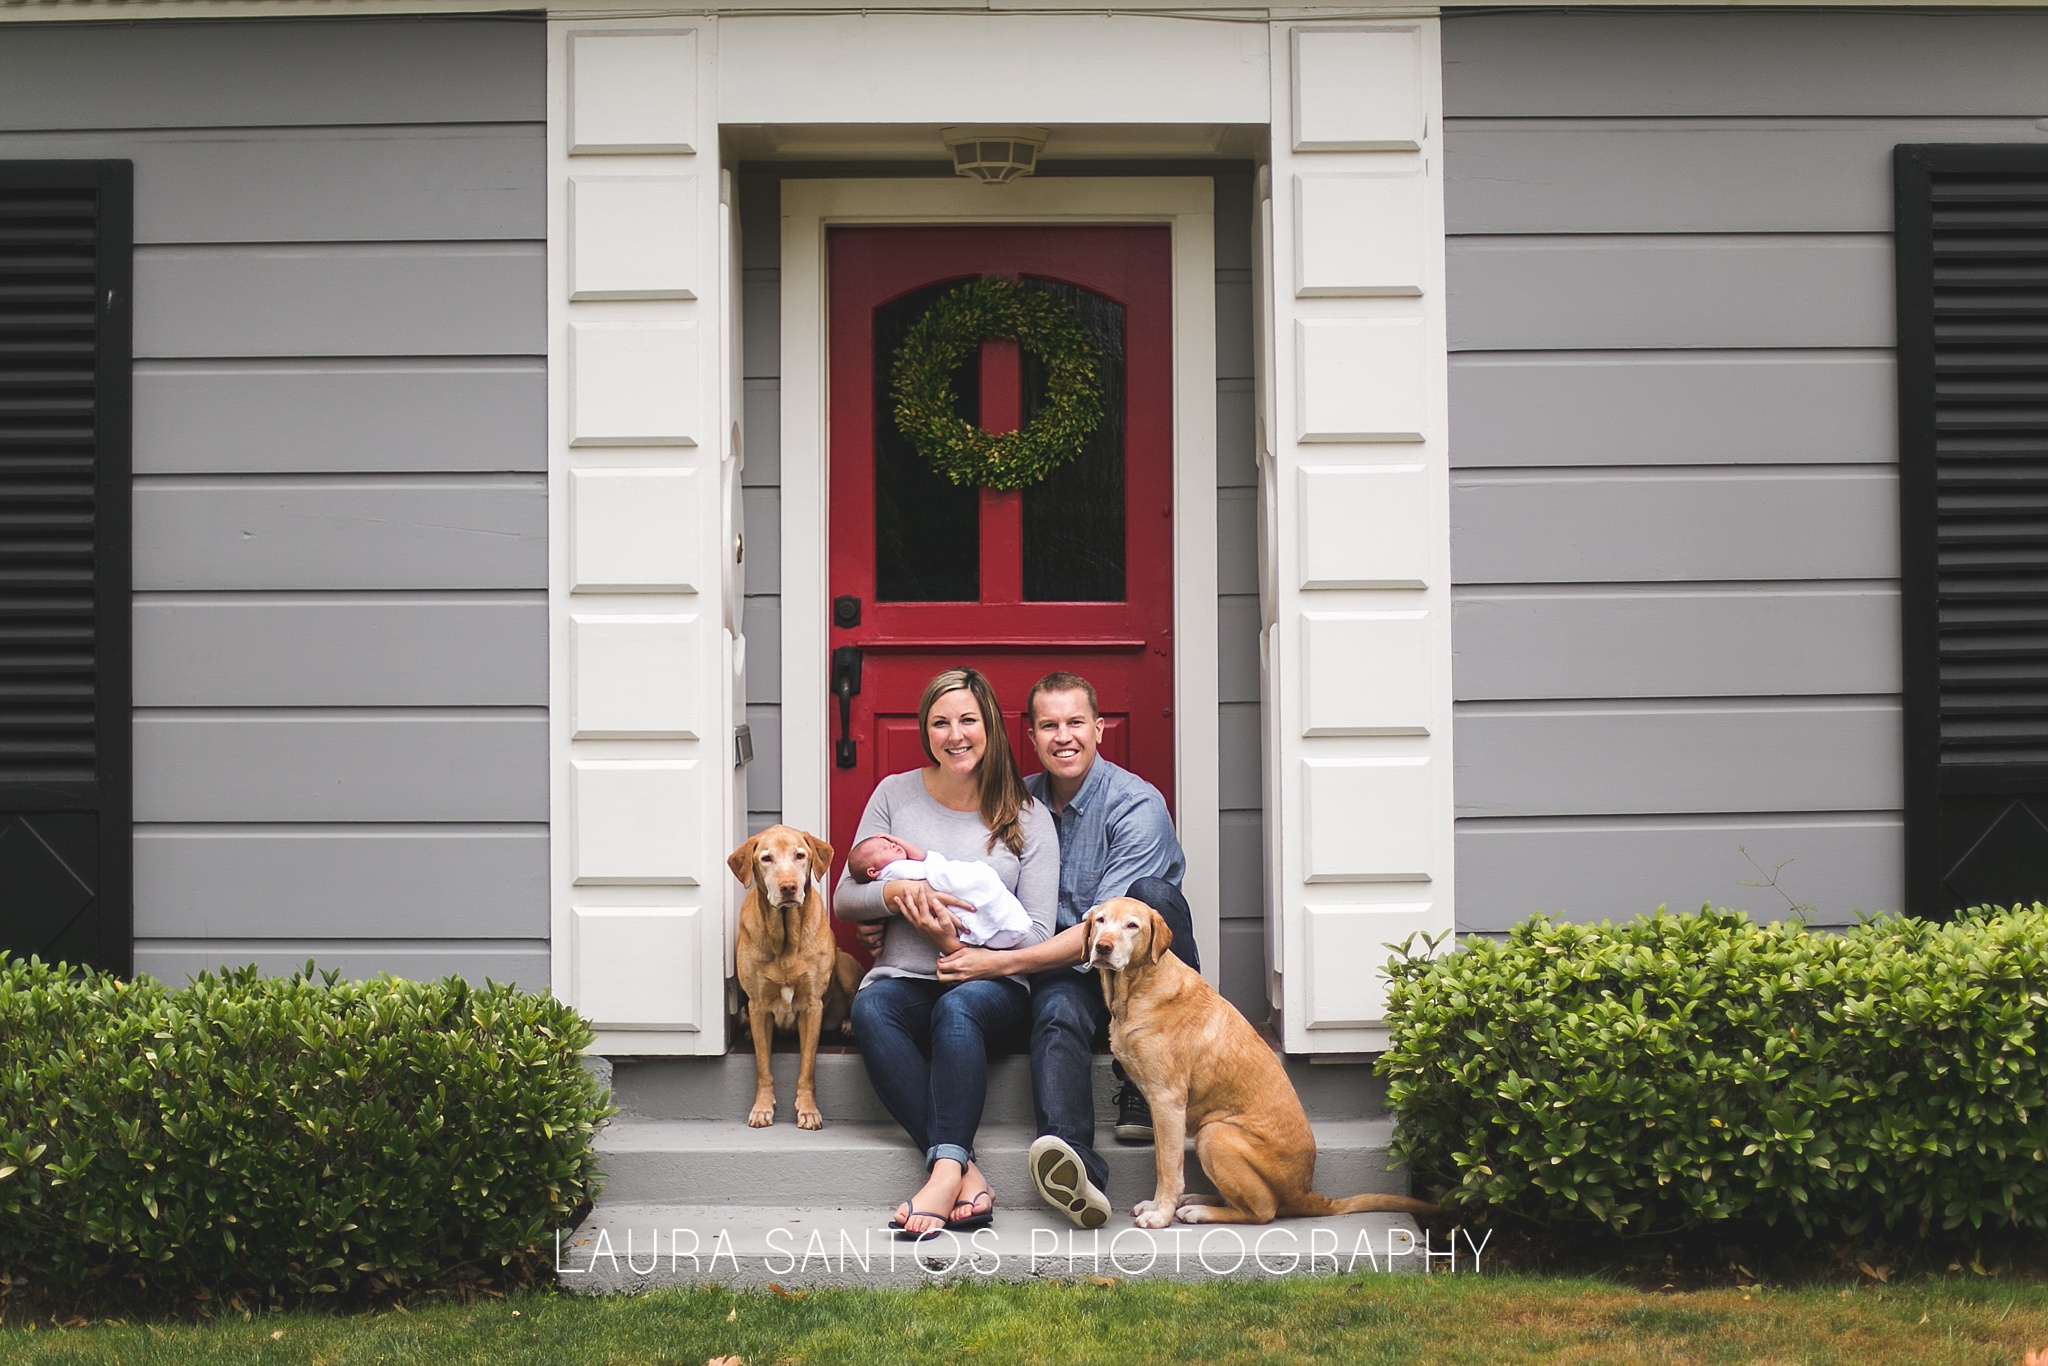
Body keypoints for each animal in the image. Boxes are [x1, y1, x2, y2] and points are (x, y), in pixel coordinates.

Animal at [724, 823, 860, 1130]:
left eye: (800, 855)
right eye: (766, 858)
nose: (788, 888)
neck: (785, 938)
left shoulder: (812, 1007)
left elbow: (807, 1068)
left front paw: (808, 1111)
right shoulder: (758, 1006)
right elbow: (763, 1067)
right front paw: (762, 1108)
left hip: (845, 965)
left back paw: (848, 1024)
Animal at [1089, 897, 1441, 1228]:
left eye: (1132, 925)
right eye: (1100, 920)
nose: (1102, 947)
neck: (1137, 988)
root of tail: (1307, 1194)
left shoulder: (1168, 1100)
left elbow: (1168, 1168)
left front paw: (1161, 1214)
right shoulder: (1158, 1106)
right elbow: (1162, 1159)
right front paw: (1156, 1205)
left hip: (1214, 1133)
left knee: (1262, 1210)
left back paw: (1199, 1211)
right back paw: (1199, 1200)